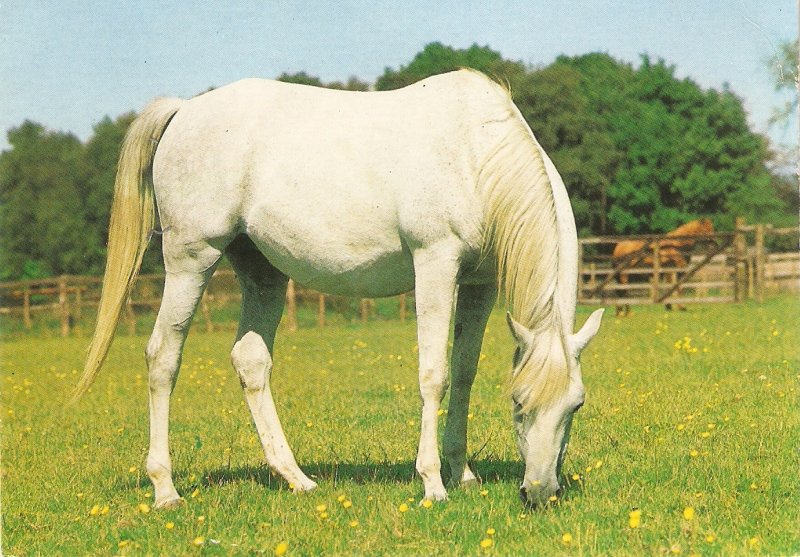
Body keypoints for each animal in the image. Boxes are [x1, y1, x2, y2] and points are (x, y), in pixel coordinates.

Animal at [73, 70, 600, 508]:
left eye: (576, 405)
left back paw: (297, 478)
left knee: (251, 361)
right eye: (519, 404)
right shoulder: (435, 264)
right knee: (163, 357)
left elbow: (465, 373)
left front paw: (463, 474)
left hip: (263, 275)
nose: (540, 492)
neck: (475, 155)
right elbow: (435, 375)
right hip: (191, 260)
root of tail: (184, 110)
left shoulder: (479, 284)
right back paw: (166, 489)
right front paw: (433, 484)